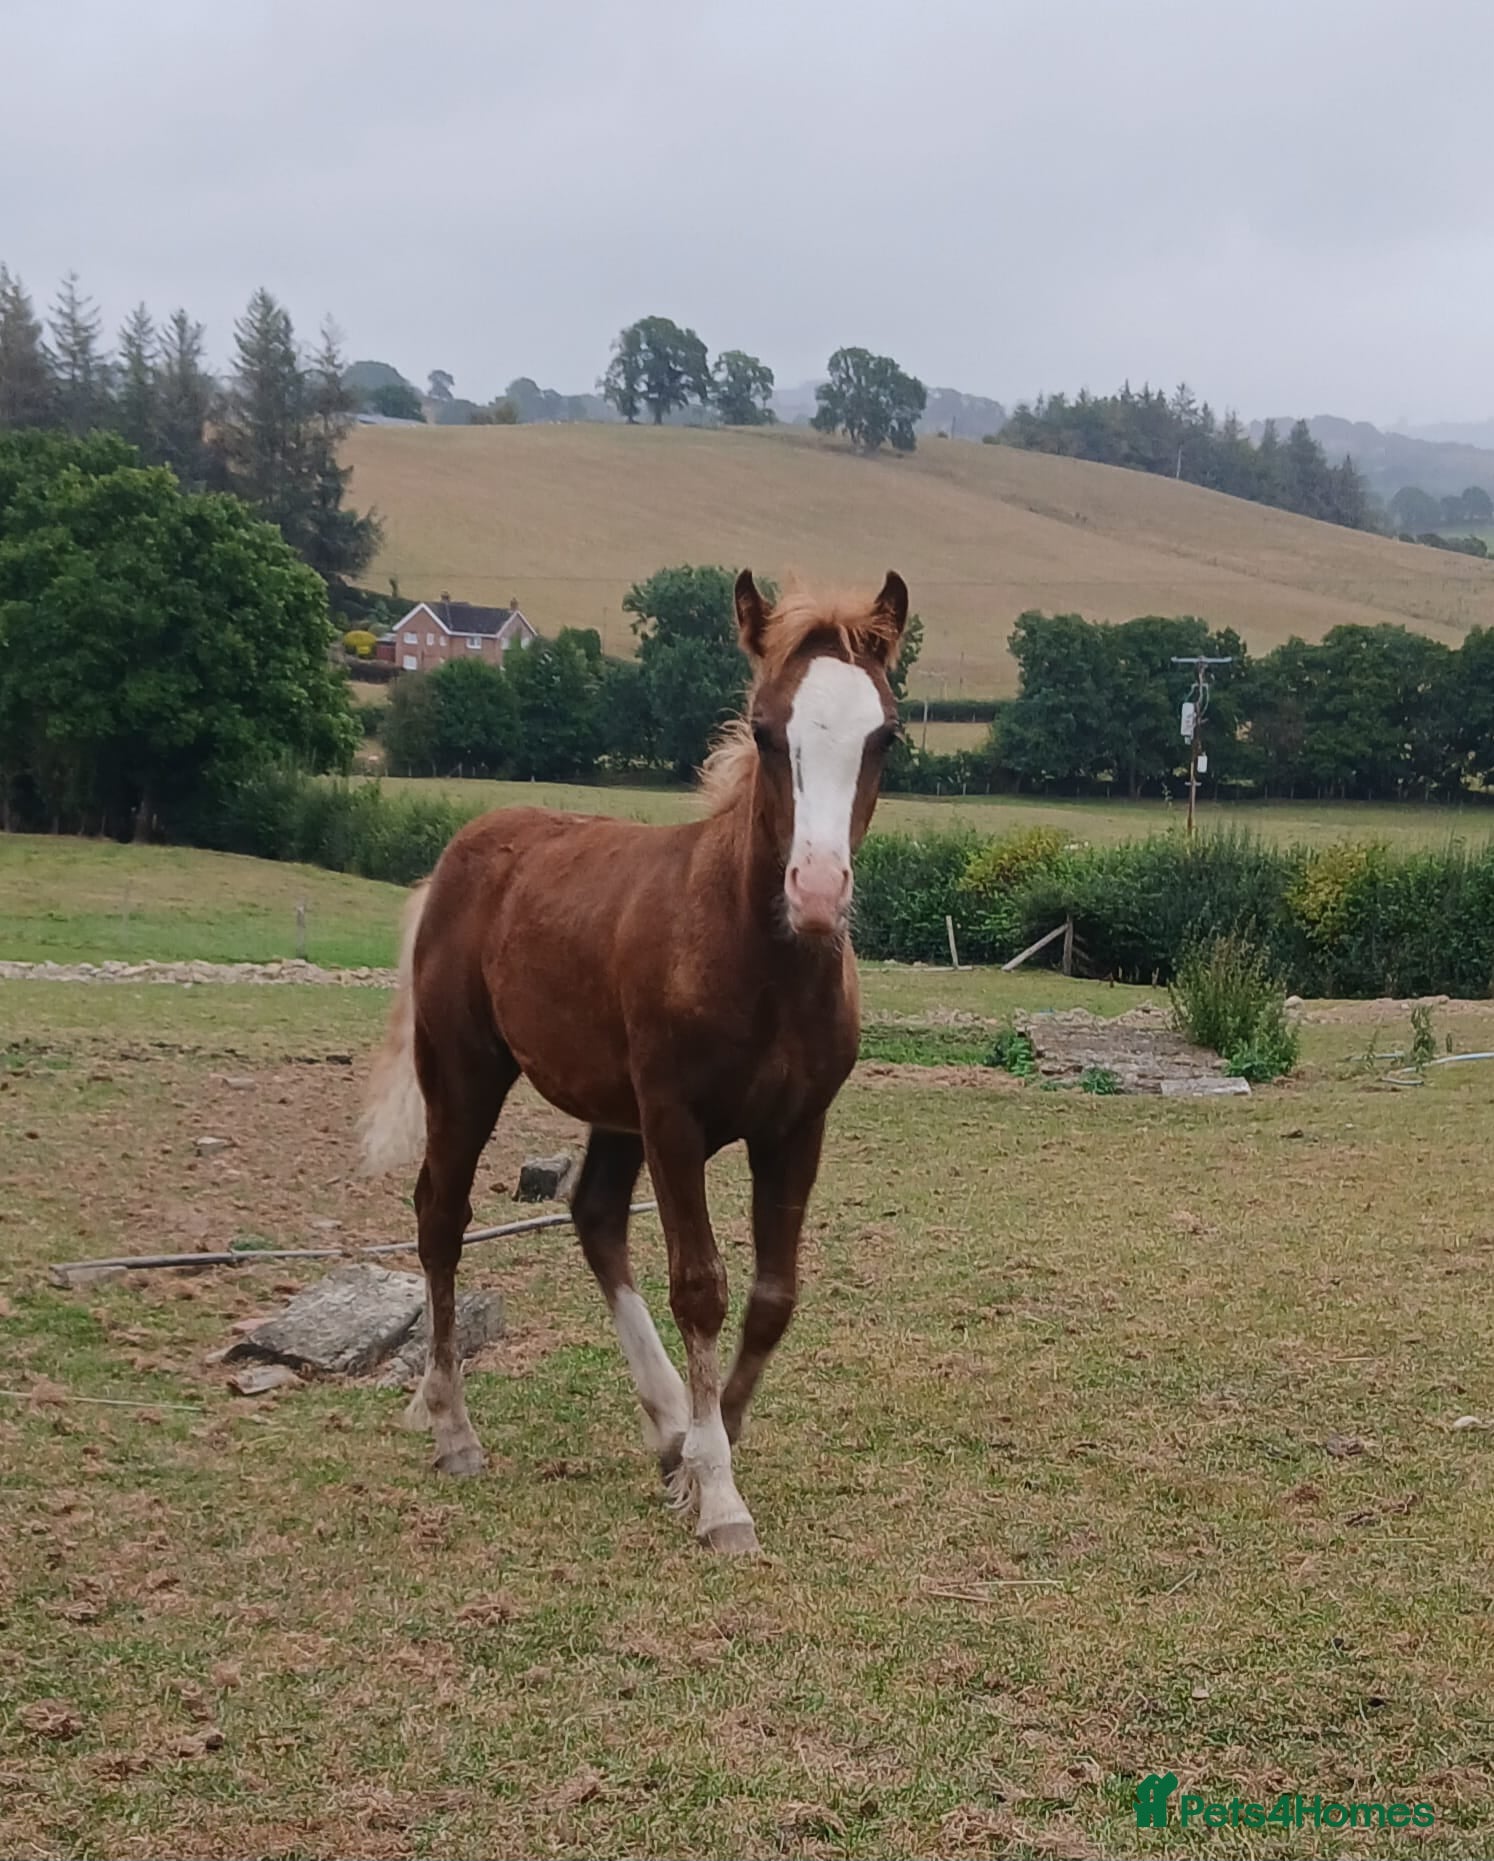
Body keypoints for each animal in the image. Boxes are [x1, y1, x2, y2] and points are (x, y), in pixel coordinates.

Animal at [359, 569, 910, 1553]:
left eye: (883, 734)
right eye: (765, 729)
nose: (815, 891)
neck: (754, 957)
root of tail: (459, 853)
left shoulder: (797, 1127)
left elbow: (773, 1295)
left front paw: (698, 1453)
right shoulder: (673, 1117)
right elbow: (700, 1286)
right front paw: (719, 1497)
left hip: (611, 1106)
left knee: (595, 1215)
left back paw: (663, 1429)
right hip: (468, 1072)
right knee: (441, 1215)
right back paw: (454, 1428)